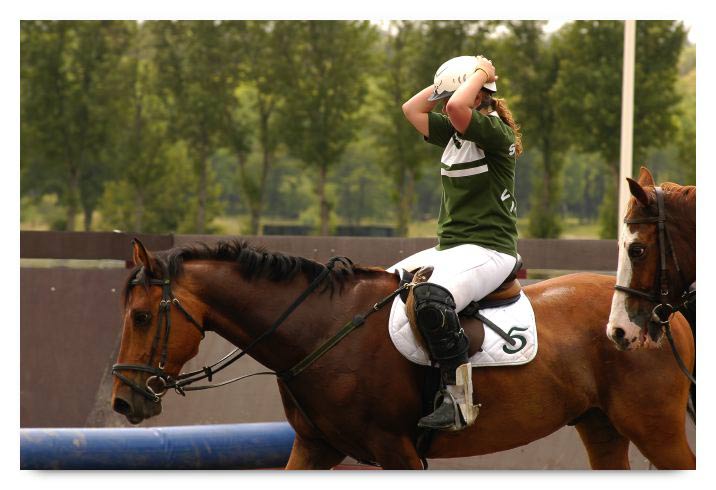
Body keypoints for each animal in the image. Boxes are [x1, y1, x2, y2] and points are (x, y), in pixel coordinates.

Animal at [111, 238, 695, 469]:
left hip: (654, 428)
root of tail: (659, 314)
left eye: (140, 318)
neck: (321, 330)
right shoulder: (315, 447)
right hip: (602, 426)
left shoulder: (397, 452)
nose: (123, 401)